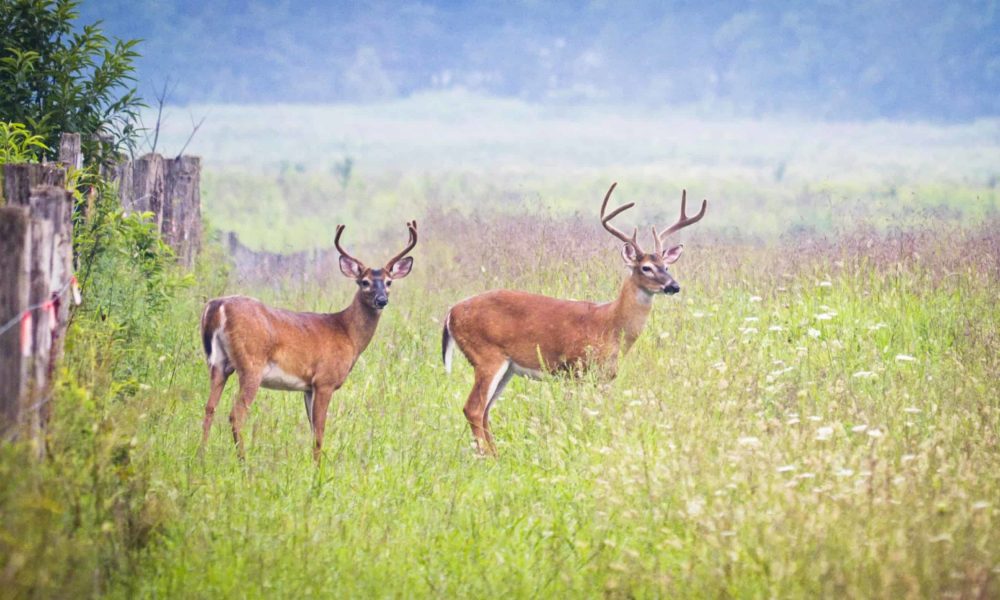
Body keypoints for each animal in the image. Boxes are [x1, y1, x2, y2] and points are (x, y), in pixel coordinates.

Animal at [199, 220, 418, 460]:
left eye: (389, 282)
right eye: (365, 282)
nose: (382, 300)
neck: (347, 333)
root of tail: (217, 306)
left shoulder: (308, 387)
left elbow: (313, 428)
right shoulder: (325, 381)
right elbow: (320, 431)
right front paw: (318, 467)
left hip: (218, 363)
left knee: (209, 408)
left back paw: (201, 456)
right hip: (251, 364)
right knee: (236, 414)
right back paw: (243, 462)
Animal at [442, 184, 708, 454]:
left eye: (666, 266)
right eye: (646, 268)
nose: (673, 286)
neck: (609, 324)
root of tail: (451, 313)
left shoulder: (605, 377)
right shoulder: (574, 368)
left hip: (505, 368)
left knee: (485, 411)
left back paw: (496, 454)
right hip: (486, 356)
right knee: (473, 408)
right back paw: (488, 456)